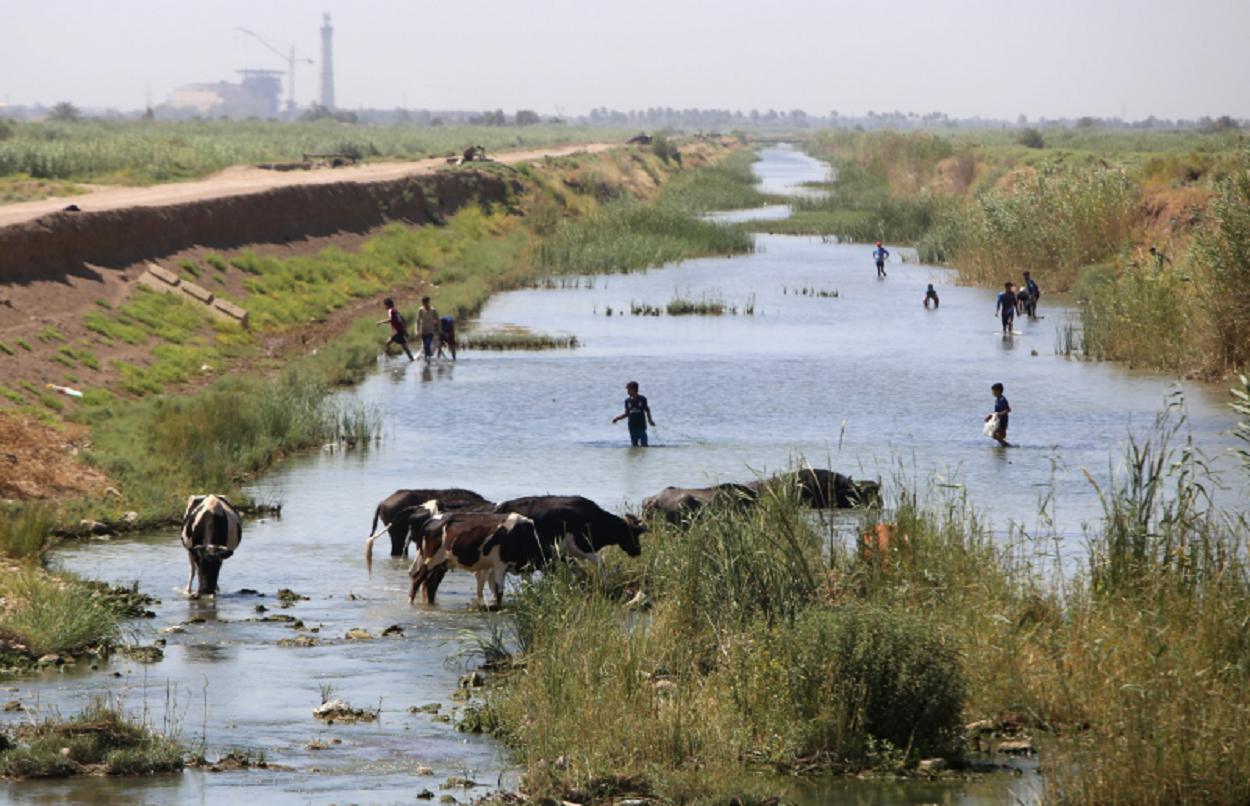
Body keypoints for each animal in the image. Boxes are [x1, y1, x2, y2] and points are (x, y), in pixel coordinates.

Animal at [410, 512, 542, 607]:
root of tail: (433, 519)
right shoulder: (500, 564)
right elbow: (499, 590)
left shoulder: (526, 568)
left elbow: (529, 589)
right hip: (430, 560)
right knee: (417, 580)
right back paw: (411, 603)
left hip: (442, 563)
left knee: (431, 584)